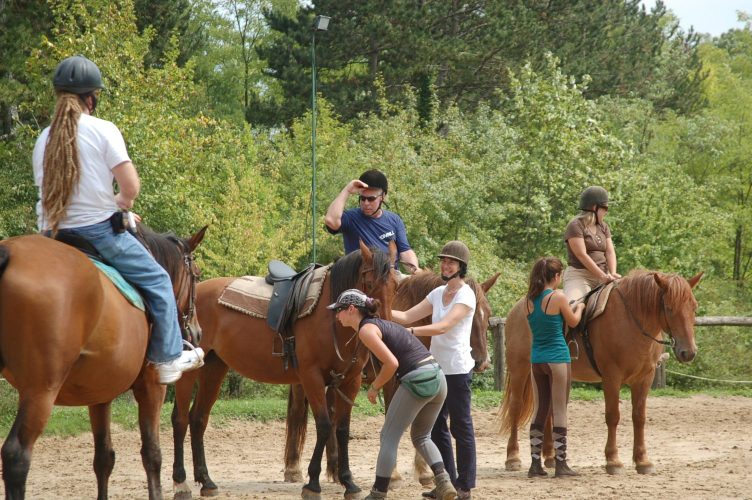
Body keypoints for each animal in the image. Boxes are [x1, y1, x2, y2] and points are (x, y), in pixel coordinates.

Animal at [0, 228, 206, 500]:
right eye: (197, 275)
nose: (197, 331)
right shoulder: (152, 388)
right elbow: (152, 454)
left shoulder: (99, 395)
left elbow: (103, 459)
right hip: (40, 391)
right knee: (16, 456)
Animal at [170, 240, 400, 498]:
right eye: (369, 284)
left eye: (396, 286)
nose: (383, 326)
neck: (332, 318)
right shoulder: (312, 378)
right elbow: (324, 425)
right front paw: (312, 484)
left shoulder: (350, 381)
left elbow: (342, 429)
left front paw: (349, 482)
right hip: (189, 373)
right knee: (180, 420)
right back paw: (181, 483)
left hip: (214, 368)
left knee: (198, 419)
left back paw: (207, 481)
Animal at [282, 272, 500, 486]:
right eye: (470, 315)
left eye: (488, 314)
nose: (482, 362)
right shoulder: (392, 382)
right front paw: (394, 474)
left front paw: (424, 473)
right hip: (306, 381)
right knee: (298, 412)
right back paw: (294, 469)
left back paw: (334, 470)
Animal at [496, 272, 704, 474]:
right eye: (669, 308)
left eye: (694, 307)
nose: (689, 352)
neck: (631, 321)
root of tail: (519, 307)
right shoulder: (612, 377)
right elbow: (613, 416)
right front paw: (613, 461)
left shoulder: (644, 378)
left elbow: (639, 417)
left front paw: (642, 461)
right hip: (520, 369)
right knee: (516, 407)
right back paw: (513, 457)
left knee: (548, 410)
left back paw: (550, 458)